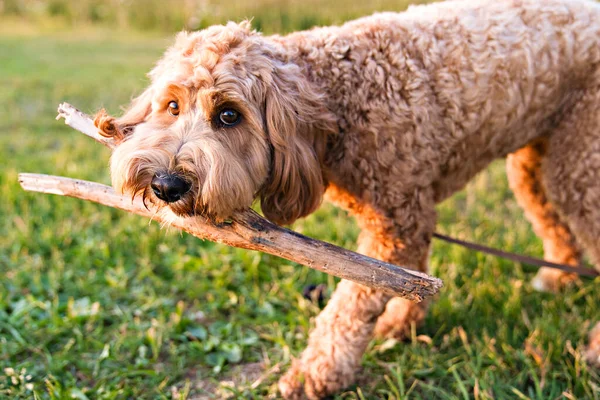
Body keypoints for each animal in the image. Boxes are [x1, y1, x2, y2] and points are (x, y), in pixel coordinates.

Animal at [94, 0, 600, 396]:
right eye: (172, 106)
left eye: (229, 115)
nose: (166, 185)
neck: (341, 95)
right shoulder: (408, 218)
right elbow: (411, 278)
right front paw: (403, 321)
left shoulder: (396, 224)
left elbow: (351, 308)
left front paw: (315, 374)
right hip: (535, 160)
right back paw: (558, 277)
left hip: (580, 165)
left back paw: (593, 346)